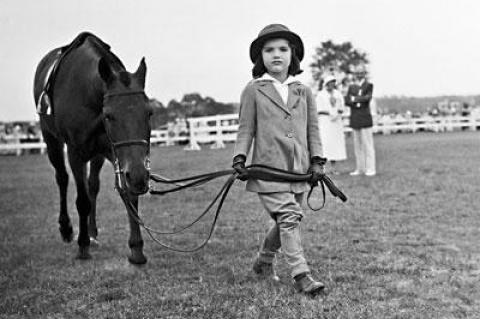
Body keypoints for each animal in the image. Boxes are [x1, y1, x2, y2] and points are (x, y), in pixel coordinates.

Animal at [33, 33, 153, 264]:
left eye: (149, 112)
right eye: (109, 115)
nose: (139, 176)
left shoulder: (116, 152)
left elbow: (126, 193)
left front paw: (136, 248)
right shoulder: (75, 152)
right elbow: (82, 200)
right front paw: (82, 246)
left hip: (97, 154)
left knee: (93, 186)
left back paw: (91, 231)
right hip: (51, 140)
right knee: (62, 178)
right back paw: (67, 229)